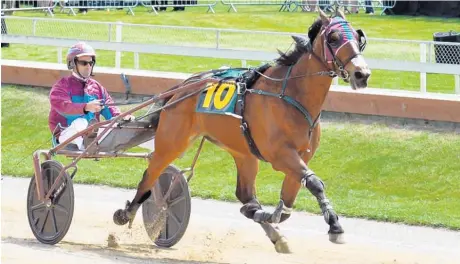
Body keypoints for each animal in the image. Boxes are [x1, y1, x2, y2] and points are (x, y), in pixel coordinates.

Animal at [114, 9, 370, 254]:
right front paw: (335, 226)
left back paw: (270, 228)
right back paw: (128, 213)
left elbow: (288, 205)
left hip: (243, 153)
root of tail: (182, 88)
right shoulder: (281, 156)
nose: (362, 74)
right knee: (150, 175)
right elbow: (315, 183)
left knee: (245, 195)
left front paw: (273, 218)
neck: (291, 95)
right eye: (333, 38)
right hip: (172, 142)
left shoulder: (301, 156)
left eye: (358, 38)